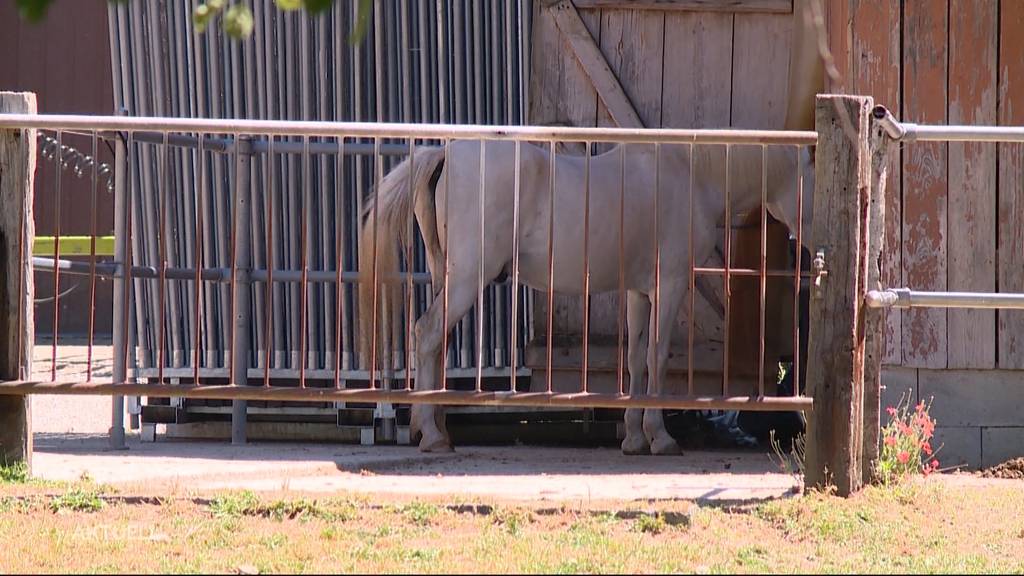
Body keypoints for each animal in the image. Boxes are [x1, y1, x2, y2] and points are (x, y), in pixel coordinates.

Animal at [360, 140, 815, 453]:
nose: (805, 251)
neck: (690, 175)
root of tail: (445, 155)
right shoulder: (669, 286)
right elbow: (657, 356)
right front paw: (661, 437)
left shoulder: (639, 292)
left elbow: (636, 359)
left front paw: (634, 438)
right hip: (468, 279)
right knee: (427, 334)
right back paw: (433, 434)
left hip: (448, 278)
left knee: (435, 344)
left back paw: (434, 428)